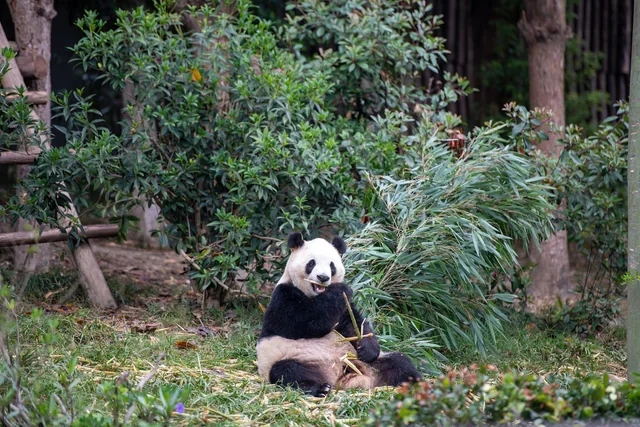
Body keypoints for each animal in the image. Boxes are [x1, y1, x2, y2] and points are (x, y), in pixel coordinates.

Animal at [256, 231, 422, 397]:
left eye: (332, 265)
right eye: (311, 263)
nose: (323, 278)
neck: (316, 295)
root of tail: (342, 378)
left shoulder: (343, 310)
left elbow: (354, 324)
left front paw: (367, 348)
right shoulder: (283, 296)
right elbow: (303, 323)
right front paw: (341, 289)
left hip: (369, 364)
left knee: (399, 362)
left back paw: (416, 382)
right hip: (296, 359)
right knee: (287, 371)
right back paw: (319, 388)